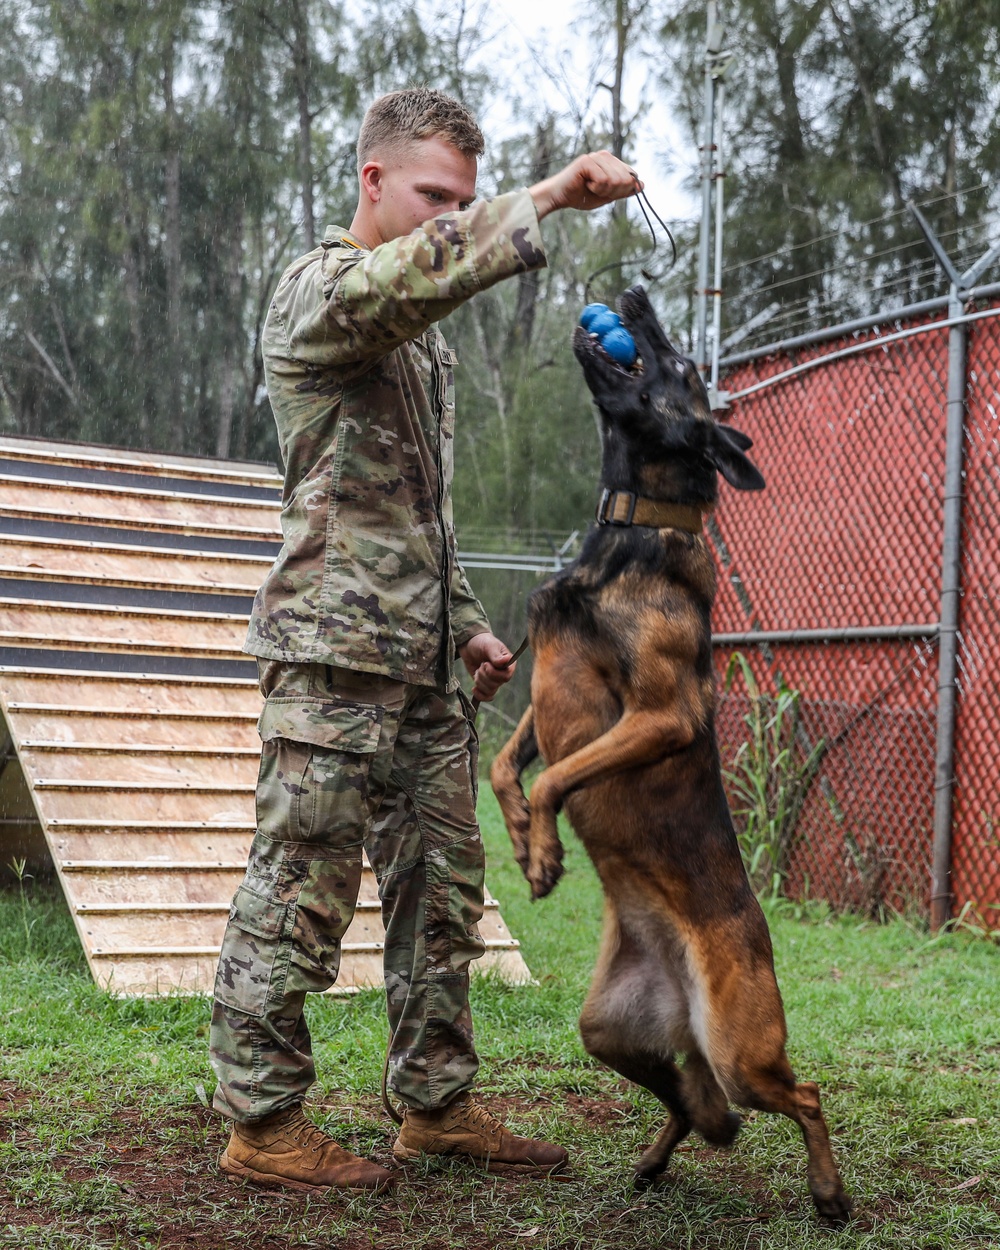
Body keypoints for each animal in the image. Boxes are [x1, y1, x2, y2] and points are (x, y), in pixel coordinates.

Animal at [492, 287, 850, 1225]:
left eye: (678, 361)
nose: (635, 294)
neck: (630, 538)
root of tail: (681, 997)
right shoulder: (543, 696)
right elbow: (510, 764)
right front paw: (521, 839)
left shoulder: (661, 718)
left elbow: (556, 775)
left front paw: (542, 853)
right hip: (610, 1030)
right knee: (693, 1099)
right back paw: (660, 1157)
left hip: (739, 1044)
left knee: (797, 1095)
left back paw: (829, 1192)